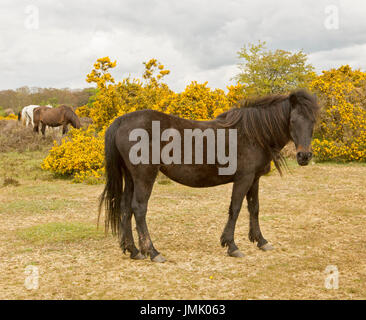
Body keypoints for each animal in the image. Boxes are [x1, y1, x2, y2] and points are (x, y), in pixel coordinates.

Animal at [98, 88, 318, 262]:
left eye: (313, 121)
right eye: (292, 121)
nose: (304, 156)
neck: (253, 134)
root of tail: (121, 121)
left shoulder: (254, 179)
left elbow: (254, 208)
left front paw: (261, 241)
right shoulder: (244, 178)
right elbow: (235, 209)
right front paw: (231, 245)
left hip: (130, 177)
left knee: (125, 208)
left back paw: (133, 250)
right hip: (144, 176)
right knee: (139, 208)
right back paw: (152, 252)